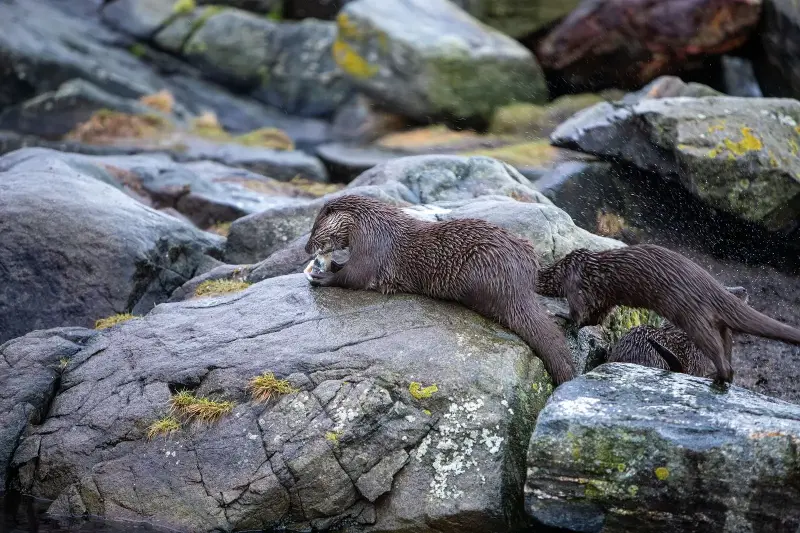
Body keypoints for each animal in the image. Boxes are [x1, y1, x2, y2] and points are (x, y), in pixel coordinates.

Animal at [304, 194, 577, 386]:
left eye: (315, 229)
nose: (306, 248)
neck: (371, 224)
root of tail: (521, 279)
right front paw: (332, 263)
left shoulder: (373, 247)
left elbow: (355, 276)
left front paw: (323, 275)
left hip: (481, 268)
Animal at [536, 244, 800, 384]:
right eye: (732, 287)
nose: (743, 290)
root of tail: (711, 290)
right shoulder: (601, 298)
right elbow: (592, 317)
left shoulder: (578, 286)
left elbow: (579, 313)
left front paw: (564, 317)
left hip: (692, 316)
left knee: (714, 350)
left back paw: (719, 377)